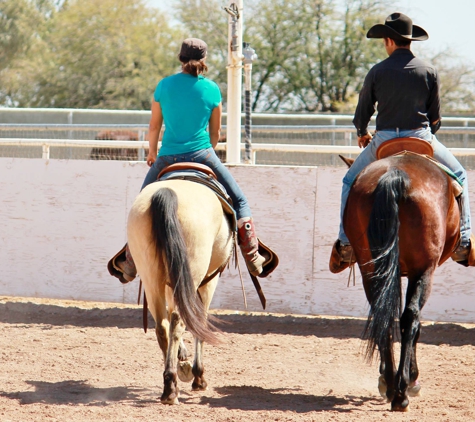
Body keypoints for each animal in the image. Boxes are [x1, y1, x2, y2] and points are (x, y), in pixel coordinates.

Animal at [122, 166, 234, 404]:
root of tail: (167, 193)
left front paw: (183, 359)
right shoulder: (209, 281)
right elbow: (199, 321)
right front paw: (198, 376)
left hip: (151, 277)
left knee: (163, 325)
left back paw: (171, 380)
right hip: (193, 273)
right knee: (178, 321)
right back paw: (173, 386)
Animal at [342, 138, 464, 412]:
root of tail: (395, 175)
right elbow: (414, 322)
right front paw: (413, 379)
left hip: (371, 267)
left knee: (383, 314)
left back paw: (389, 383)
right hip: (423, 269)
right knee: (410, 317)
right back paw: (402, 392)